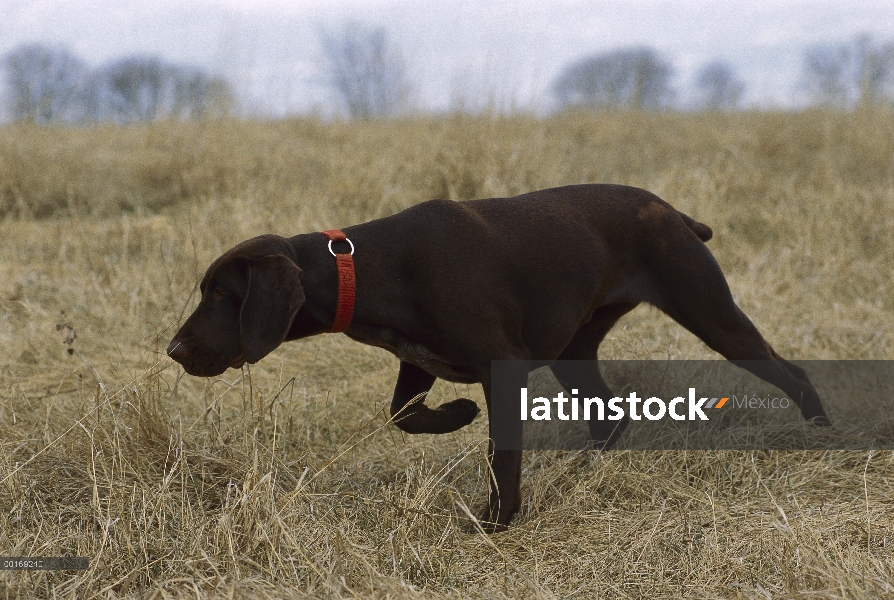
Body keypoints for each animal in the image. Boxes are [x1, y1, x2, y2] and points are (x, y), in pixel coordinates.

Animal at [170, 183, 832, 528]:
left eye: (222, 295)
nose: (173, 350)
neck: (368, 266)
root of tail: (672, 211)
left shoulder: (502, 369)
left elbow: (501, 456)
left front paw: (497, 520)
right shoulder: (417, 361)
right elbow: (402, 413)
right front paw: (455, 417)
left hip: (709, 310)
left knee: (791, 371)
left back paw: (822, 433)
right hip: (575, 350)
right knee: (610, 414)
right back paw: (581, 476)